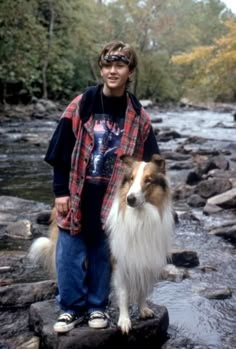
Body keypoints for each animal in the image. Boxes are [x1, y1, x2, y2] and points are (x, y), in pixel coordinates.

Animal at [105, 154, 173, 334]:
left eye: (148, 180)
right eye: (131, 179)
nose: (130, 199)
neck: (140, 218)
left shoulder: (145, 260)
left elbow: (142, 290)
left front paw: (143, 310)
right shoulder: (120, 262)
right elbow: (123, 294)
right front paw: (124, 320)